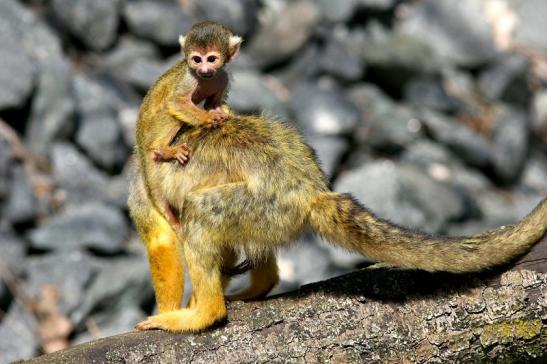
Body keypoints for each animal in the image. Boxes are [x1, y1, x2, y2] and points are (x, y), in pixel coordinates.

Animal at [149, 20, 241, 166]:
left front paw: (221, 112)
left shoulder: (223, 76)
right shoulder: (189, 77)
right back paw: (163, 149)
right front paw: (208, 117)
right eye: (197, 60)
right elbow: (176, 102)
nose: (204, 70)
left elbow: (211, 104)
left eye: (211, 59)